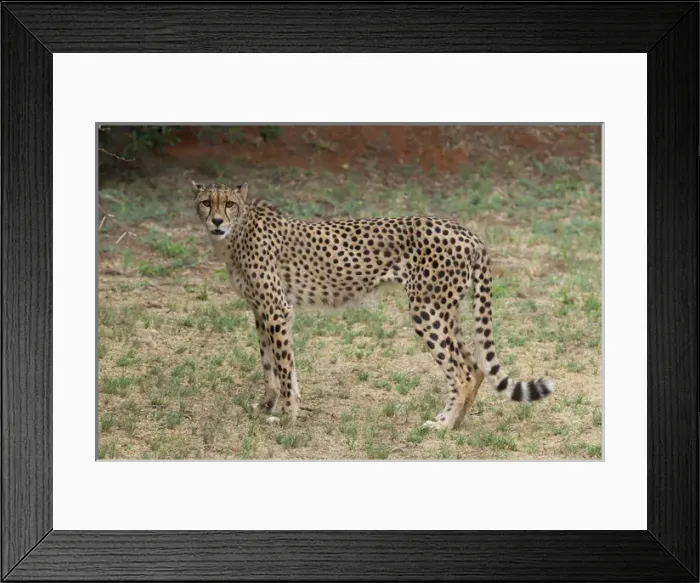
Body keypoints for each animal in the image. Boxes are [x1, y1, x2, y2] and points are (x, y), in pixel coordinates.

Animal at [192, 180, 554, 431]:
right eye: (206, 202)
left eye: (229, 204)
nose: (217, 222)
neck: (236, 233)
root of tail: (465, 230)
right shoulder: (261, 311)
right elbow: (270, 364)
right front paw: (268, 406)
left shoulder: (277, 309)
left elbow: (282, 367)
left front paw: (288, 417)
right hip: (446, 310)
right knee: (475, 366)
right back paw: (457, 422)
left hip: (427, 311)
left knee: (462, 373)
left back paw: (442, 426)